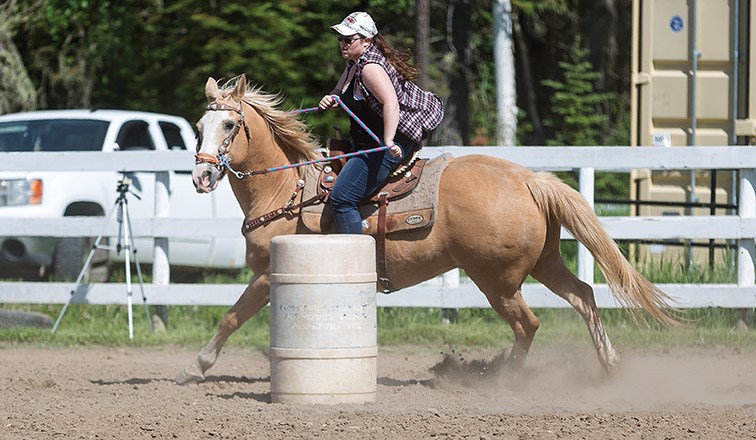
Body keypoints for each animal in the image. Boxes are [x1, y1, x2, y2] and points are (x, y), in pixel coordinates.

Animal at [179, 75, 680, 384]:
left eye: (230, 124)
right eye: (199, 124)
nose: (201, 177)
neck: (287, 188)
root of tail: (527, 179)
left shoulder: (267, 276)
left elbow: (230, 317)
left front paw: (195, 367)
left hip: (496, 279)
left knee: (529, 323)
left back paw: (502, 380)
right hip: (545, 262)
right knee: (584, 297)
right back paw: (609, 366)